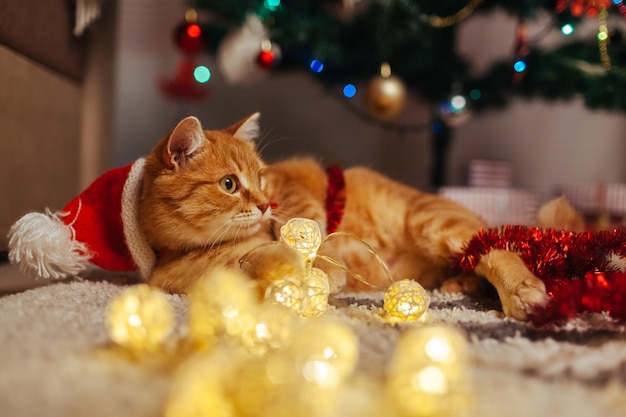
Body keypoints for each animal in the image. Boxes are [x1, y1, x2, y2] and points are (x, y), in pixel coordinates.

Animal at [138, 112, 572, 320]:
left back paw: (520, 293)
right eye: (229, 184)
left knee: (496, 248)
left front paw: (326, 269)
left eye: (261, 177)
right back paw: (460, 284)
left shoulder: (292, 192)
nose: (264, 204)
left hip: (436, 225)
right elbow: (259, 263)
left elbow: (308, 232)